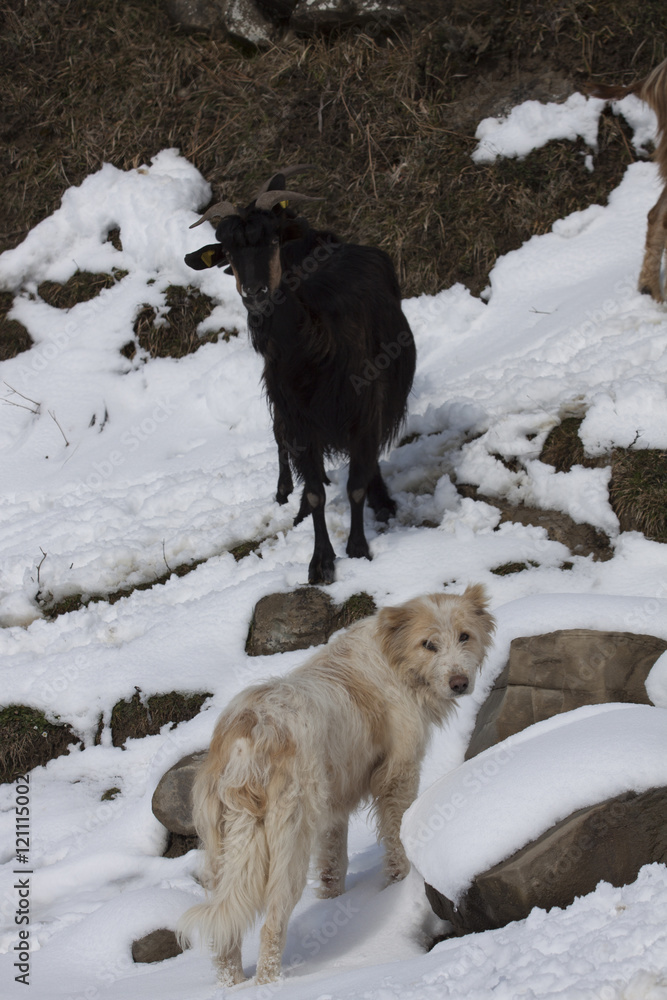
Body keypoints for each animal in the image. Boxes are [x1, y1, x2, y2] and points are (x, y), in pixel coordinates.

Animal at [185, 166, 416, 585]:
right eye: (228, 251)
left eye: (272, 238)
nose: (255, 292)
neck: (312, 348)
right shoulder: (299, 420)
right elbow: (314, 493)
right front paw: (320, 561)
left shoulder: (363, 411)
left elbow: (356, 485)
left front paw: (358, 547)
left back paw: (383, 501)